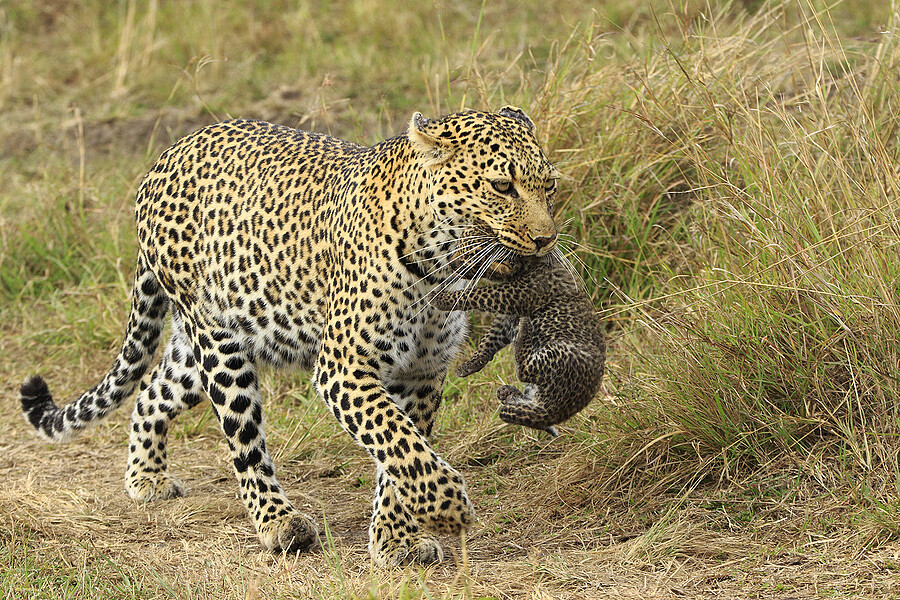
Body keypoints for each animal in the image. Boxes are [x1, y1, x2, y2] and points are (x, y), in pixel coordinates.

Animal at [18, 106, 562, 566]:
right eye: (502, 186)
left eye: (549, 186)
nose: (546, 239)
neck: (442, 264)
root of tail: (164, 158)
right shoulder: (344, 368)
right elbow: (400, 443)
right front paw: (449, 507)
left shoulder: (423, 373)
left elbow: (401, 455)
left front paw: (396, 540)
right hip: (218, 345)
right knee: (244, 443)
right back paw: (279, 523)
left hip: (209, 341)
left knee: (152, 391)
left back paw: (145, 477)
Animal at [431, 254, 606, 437]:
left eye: (472, 258)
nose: (452, 261)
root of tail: (556, 411)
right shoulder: (506, 318)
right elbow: (489, 339)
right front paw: (470, 365)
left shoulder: (516, 293)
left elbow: (478, 294)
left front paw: (441, 298)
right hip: (536, 390)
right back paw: (508, 393)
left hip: (563, 354)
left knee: (523, 370)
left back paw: (524, 329)